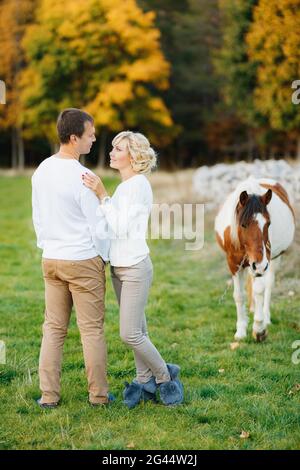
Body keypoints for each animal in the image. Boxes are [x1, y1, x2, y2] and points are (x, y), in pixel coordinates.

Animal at [216, 176, 296, 342]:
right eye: (243, 224)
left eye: (268, 223)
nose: (258, 265)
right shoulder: (234, 264)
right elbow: (239, 296)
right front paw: (240, 331)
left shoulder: (262, 264)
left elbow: (260, 290)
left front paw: (259, 329)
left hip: (273, 260)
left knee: (268, 285)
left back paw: (265, 317)